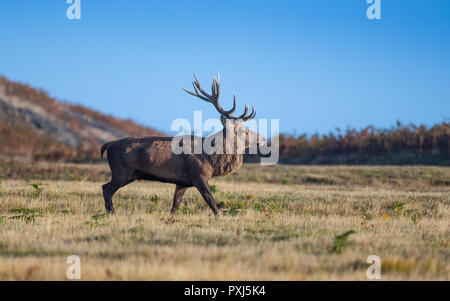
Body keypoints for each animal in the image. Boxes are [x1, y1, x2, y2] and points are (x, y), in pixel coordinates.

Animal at [100, 74, 266, 216]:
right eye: (244, 131)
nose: (263, 138)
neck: (211, 159)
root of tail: (108, 144)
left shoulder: (183, 182)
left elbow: (175, 205)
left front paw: (170, 220)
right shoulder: (198, 176)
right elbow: (211, 202)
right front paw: (220, 218)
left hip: (131, 174)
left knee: (105, 187)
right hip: (121, 171)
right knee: (106, 188)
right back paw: (111, 214)